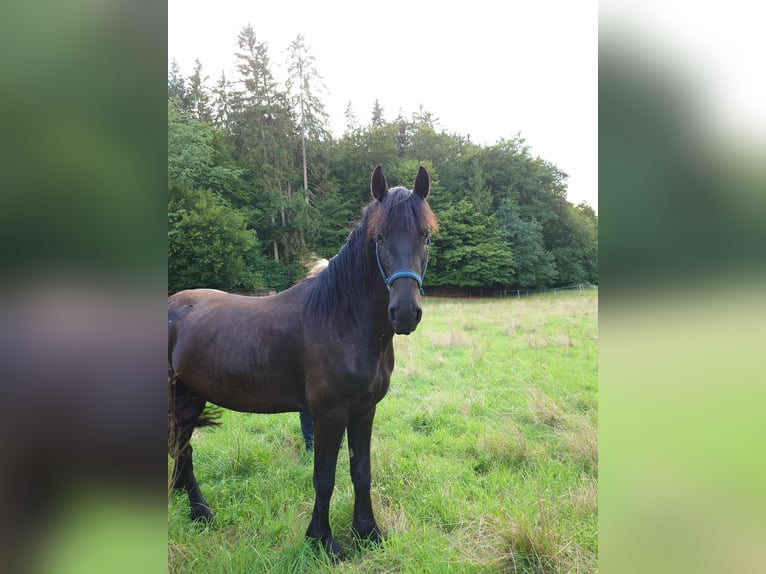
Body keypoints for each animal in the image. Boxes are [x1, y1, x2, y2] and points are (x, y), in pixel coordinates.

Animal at [168, 165, 437, 559]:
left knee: (180, 449)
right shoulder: (329, 414)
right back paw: (200, 511)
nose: (405, 313)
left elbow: (361, 471)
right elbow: (324, 478)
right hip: (181, 399)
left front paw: (368, 532)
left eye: (425, 236)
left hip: (191, 396)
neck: (343, 321)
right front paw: (323, 541)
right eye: (381, 236)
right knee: (184, 449)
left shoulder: (364, 410)